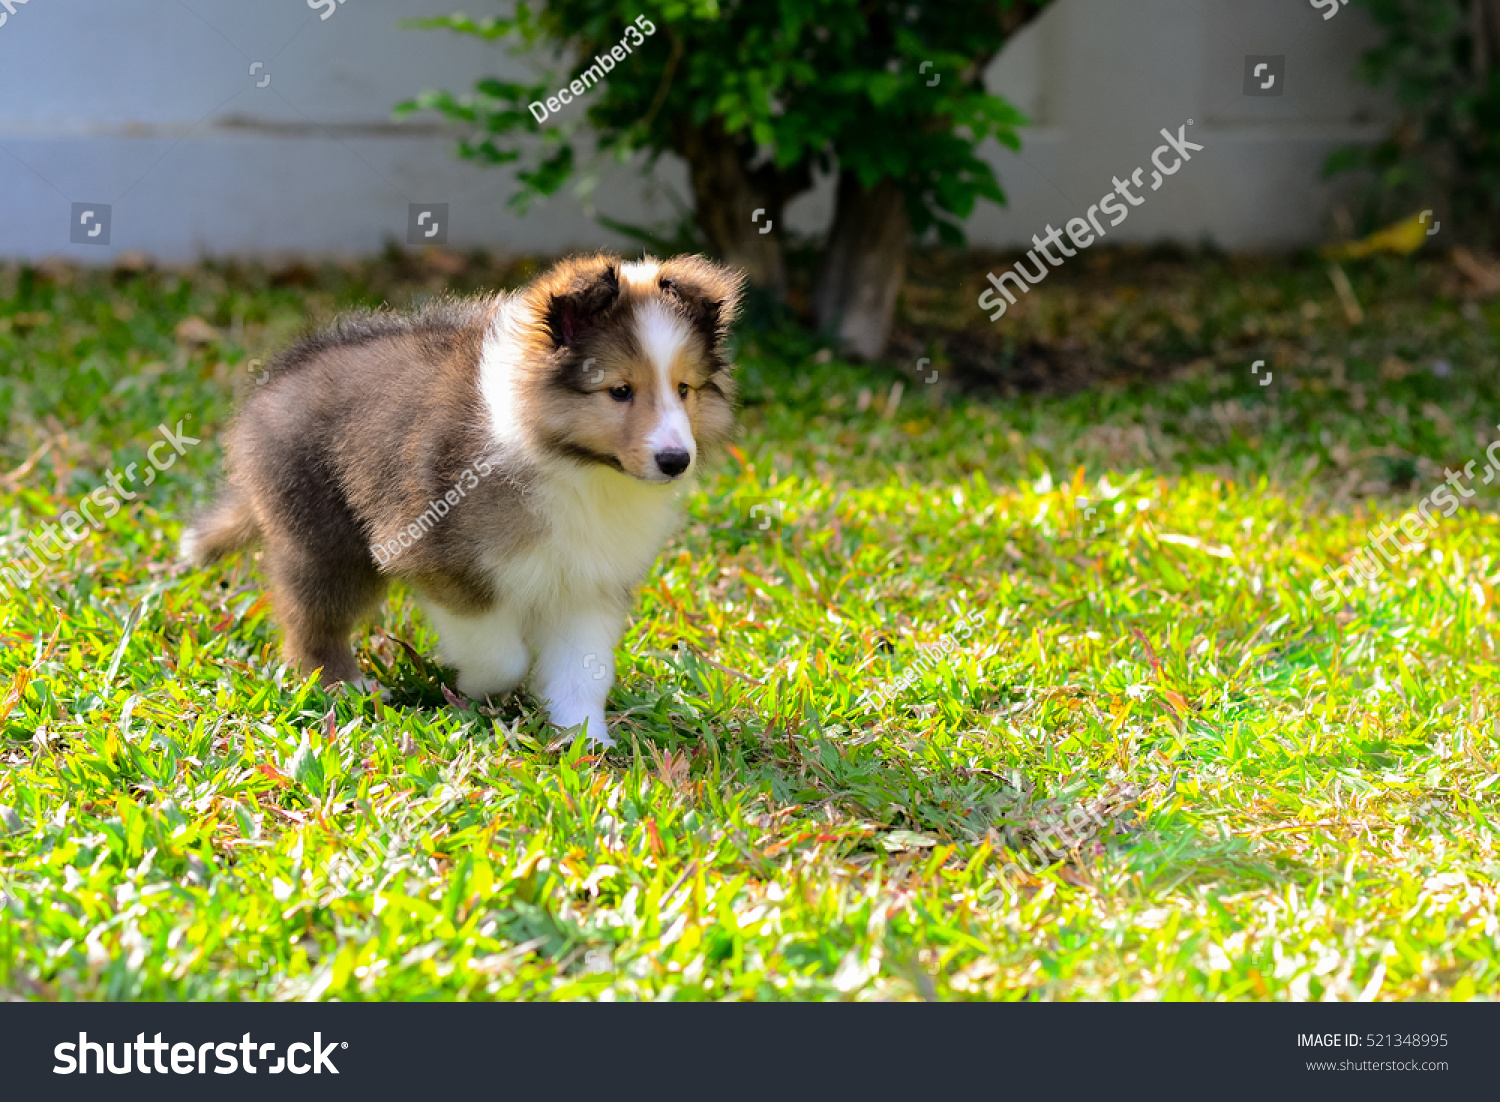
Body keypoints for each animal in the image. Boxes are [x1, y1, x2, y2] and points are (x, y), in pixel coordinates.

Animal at [181, 254, 744, 746]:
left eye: (684, 389)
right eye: (620, 390)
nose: (676, 459)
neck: (577, 467)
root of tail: (273, 382)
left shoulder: (586, 582)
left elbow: (582, 669)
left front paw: (584, 739)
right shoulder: (439, 558)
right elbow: (502, 656)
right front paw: (472, 689)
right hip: (324, 539)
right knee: (311, 619)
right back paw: (345, 686)